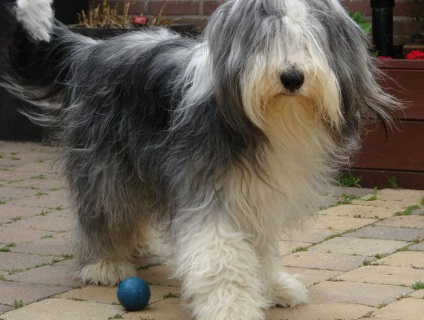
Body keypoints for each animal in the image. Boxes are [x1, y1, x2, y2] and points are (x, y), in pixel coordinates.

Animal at [0, 0, 400, 318]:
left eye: (309, 40)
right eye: (264, 41)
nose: (291, 77)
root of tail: (92, 48)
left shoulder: (257, 195)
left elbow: (259, 248)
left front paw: (273, 286)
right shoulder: (206, 188)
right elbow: (221, 254)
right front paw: (232, 306)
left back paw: (137, 242)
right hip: (105, 162)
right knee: (102, 207)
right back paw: (104, 262)